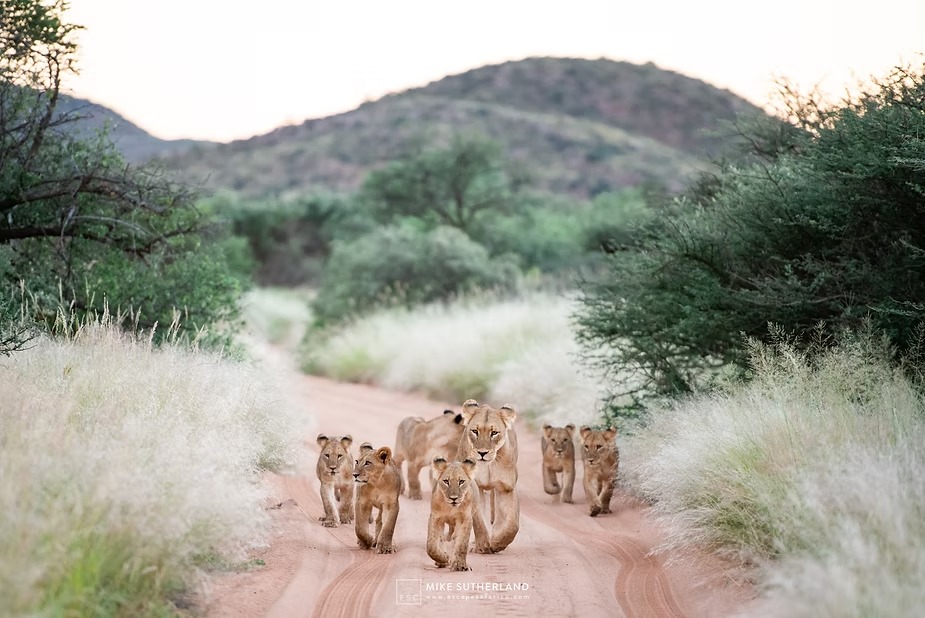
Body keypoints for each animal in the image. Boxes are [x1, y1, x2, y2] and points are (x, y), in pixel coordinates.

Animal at [455, 399, 518, 553]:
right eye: (475, 431)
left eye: (494, 433)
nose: (482, 453)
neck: (489, 465)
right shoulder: (474, 486)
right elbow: (478, 519)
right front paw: (483, 545)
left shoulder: (506, 487)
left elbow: (512, 525)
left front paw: (497, 543)